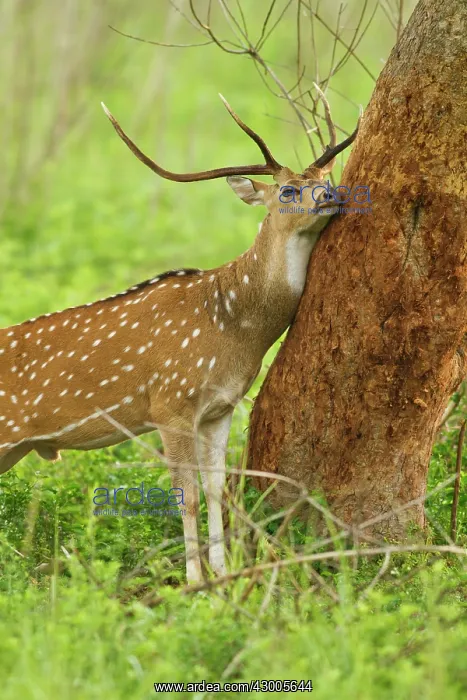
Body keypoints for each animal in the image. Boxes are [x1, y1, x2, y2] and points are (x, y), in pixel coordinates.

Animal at [0, 88, 360, 582]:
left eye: (324, 176)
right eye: (288, 189)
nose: (332, 194)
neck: (234, 330)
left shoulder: (221, 407)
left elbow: (215, 489)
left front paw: (223, 573)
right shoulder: (169, 404)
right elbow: (185, 497)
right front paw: (194, 581)